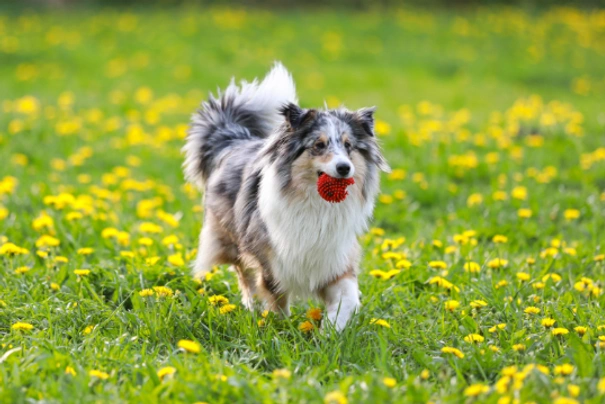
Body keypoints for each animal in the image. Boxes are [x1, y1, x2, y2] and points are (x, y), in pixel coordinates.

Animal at [183, 61, 386, 330]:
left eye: (348, 146)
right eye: (319, 145)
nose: (344, 168)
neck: (316, 204)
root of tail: (232, 140)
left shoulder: (335, 258)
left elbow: (347, 298)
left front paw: (330, 332)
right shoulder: (272, 260)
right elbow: (275, 298)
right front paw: (281, 328)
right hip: (232, 236)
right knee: (245, 275)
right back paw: (252, 309)